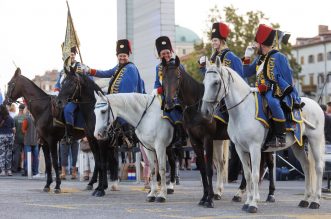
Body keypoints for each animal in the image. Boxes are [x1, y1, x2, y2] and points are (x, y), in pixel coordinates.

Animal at [162, 56, 276, 207]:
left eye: (177, 76)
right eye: (163, 77)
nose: (169, 103)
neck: (196, 108)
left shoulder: (208, 138)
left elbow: (209, 169)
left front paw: (209, 199)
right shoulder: (195, 140)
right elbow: (203, 168)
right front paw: (205, 196)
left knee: (268, 163)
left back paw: (264, 194)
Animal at [201, 57, 326, 213]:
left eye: (216, 82)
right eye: (204, 83)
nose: (205, 111)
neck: (242, 111)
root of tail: (316, 104)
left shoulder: (254, 148)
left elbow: (255, 174)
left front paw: (253, 204)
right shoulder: (240, 148)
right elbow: (247, 175)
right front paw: (247, 202)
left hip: (315, 140)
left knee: (319, 167)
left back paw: (315, 201)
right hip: (298, 145)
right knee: (307, 166)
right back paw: (305, 199)